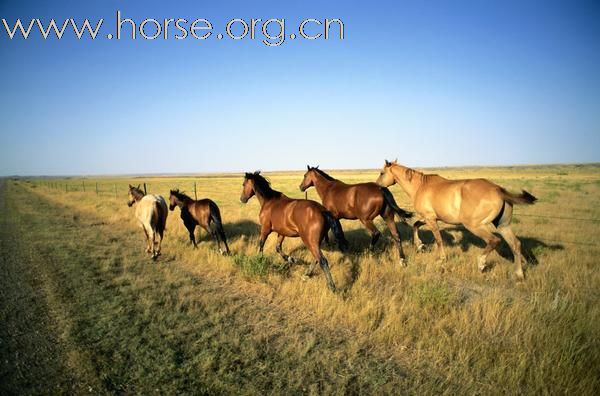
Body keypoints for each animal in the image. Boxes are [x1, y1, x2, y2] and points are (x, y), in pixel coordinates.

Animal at [378, 160, 536, 278]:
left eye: (382, 173)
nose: (378, 186)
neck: (420, 186)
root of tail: (498, 190)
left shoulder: (430, 219)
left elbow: (438, 240)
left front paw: (441, 260)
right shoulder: (430, 218)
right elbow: (416, 225)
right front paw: (420, 245)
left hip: (474, 226)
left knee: (494, 240)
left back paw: (481, 263)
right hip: (502, 226)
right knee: (515, 244)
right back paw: (519, 274)